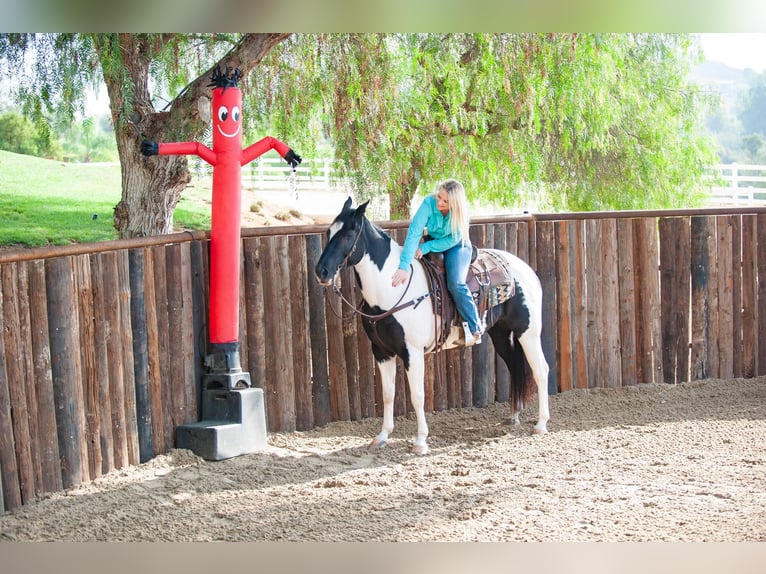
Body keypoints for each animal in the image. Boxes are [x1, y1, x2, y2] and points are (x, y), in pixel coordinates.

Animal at [316, 200, 548, 456]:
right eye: (328, 232)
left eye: (348, 234)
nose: (321, 272)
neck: (393, 288)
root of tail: (524, 269)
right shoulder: (382, 352)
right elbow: (388, 394)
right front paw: (382, 436)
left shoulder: (412, 352)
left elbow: (418, 396)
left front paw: (420, 441)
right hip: (501, 334)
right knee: (515, 367)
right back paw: (514, 416)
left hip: (529, 332)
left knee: (541, 370)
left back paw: (541, 424)